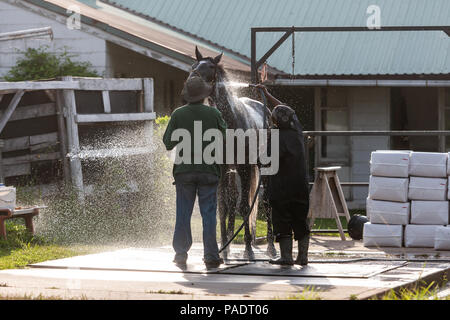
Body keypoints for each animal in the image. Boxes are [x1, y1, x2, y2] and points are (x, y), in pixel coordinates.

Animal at [188, 46, 276, 260]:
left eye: (210, 67)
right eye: (194, 65)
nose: (192, 82)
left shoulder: (244, 168)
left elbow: (244, 206)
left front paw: (248, 250)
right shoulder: (222, 169)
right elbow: (223, 206)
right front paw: (223, 248)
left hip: (262, 168)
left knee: (266, 202)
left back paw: (271, 247)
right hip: (233, 171)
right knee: (232, 201)